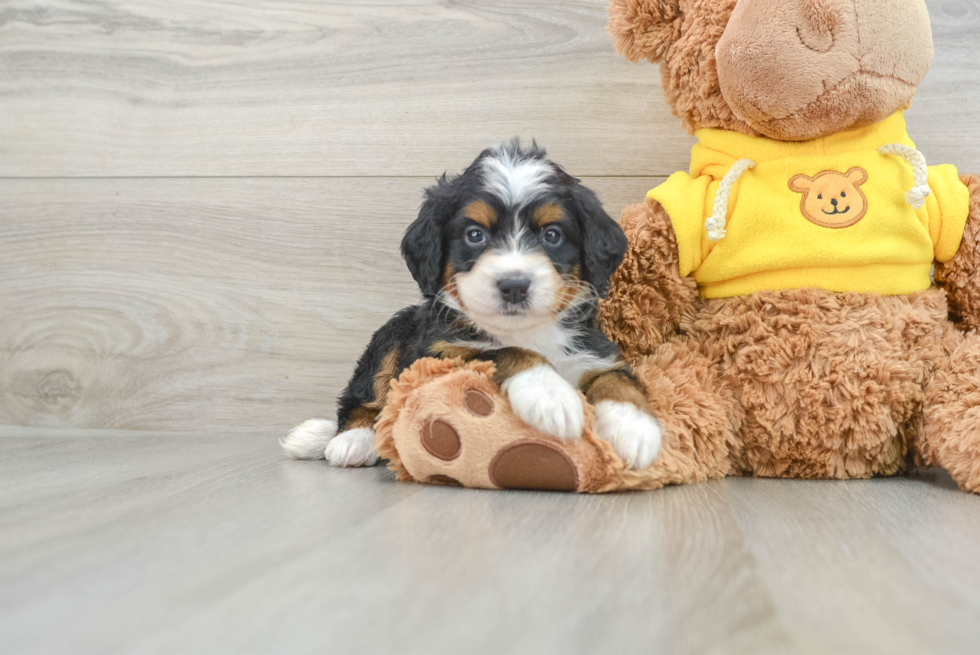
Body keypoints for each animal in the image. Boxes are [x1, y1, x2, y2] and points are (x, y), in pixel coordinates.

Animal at [284, 142, 668, 472]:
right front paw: (550, 396)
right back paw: (350, 439)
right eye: (474, 235)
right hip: (393, 334)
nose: (514, 285)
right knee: (362, 399)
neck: (527, 330)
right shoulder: (436, 355)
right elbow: (502, 352)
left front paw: (634, 427)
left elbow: (619, 380)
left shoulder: (594, 351)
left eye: (552, 235)